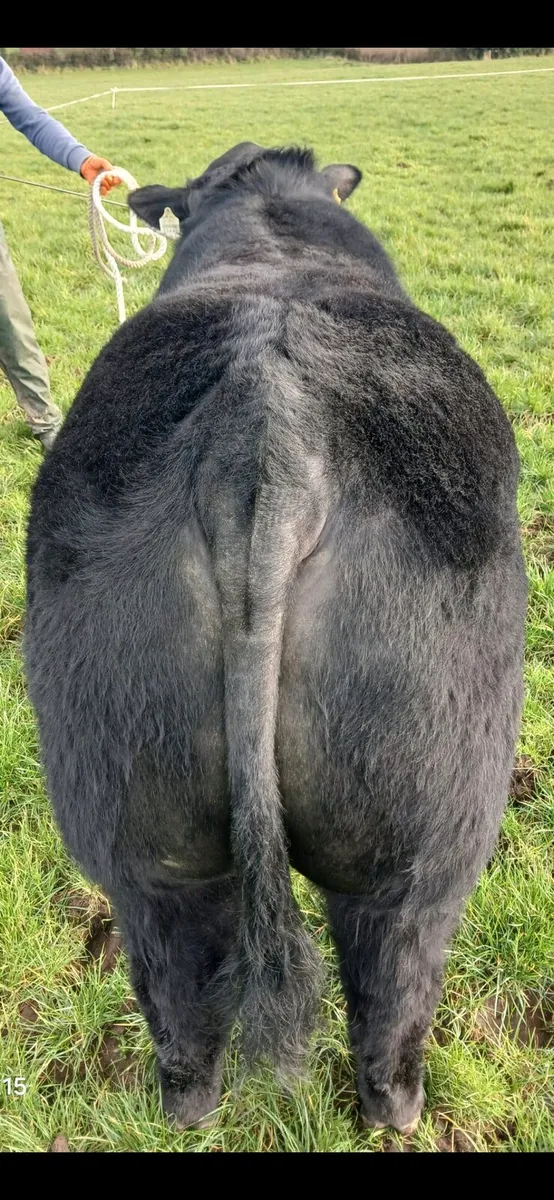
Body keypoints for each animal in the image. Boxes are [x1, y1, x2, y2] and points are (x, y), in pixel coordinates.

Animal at [24, 142, 527, 1134]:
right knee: (392, 998)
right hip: (425, 849)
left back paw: (192, 1110)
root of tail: (267, 424)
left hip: (143, 842)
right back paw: (398, 1115)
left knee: (180, 1008)